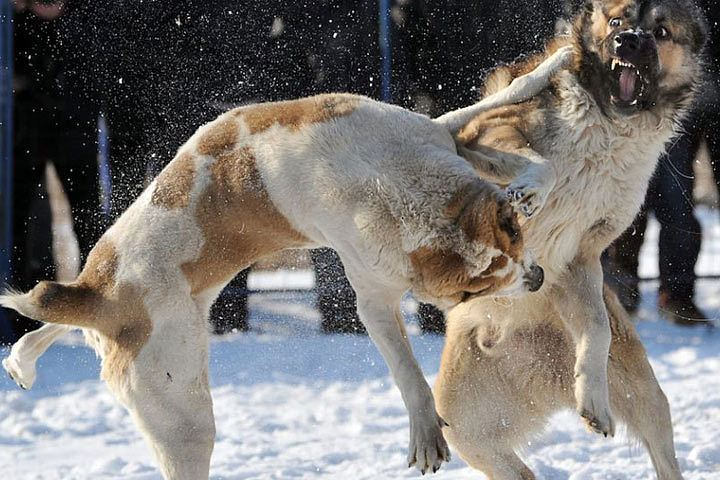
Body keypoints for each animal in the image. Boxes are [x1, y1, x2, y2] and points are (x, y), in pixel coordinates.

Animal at [1, 48, 572, 476]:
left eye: (517, 251)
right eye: (473, 293)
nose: (537, 277)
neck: (389, 186)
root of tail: (100, 298)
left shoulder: (435, 132)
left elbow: (521, 136)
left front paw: (531, 176)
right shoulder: (374, 298)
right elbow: (408, 371)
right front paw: (425, 431)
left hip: (129, 300)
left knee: (51, 319)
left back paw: (22, 358)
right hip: (183, 417)